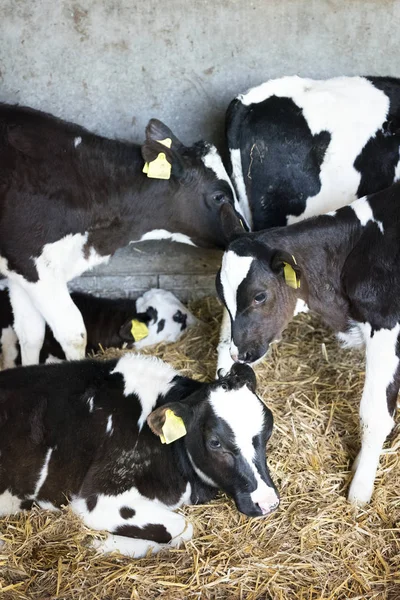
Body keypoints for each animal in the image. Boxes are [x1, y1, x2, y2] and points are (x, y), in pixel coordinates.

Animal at [0, 354, 278, 556]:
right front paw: (101, 543)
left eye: (269, 430)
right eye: (215, 442)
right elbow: (184, 528)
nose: (268, 502)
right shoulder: (96, 500)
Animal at [217, 179, 400, 506]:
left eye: (259, 296)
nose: (239, 354)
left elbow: (374, 414)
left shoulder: (387, 325)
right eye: (220, 293)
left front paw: (360, 488)